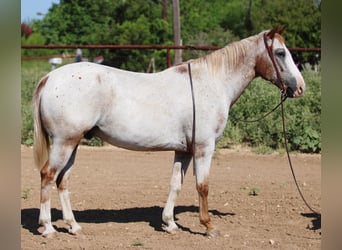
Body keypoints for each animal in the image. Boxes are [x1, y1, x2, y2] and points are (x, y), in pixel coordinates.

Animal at [32, 27, 304, 236]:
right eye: (280, 53)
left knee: (62, 180)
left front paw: (170, 223)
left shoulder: (184, 151)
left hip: (73, 143)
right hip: (65, 142)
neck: (211, 84)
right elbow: (202, 186)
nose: (300, 87)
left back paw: (74, 226)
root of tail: (49, 78)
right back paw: (48, 228)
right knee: (47, 176)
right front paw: (208, 226)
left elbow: (176, 184)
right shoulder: (204, 148)